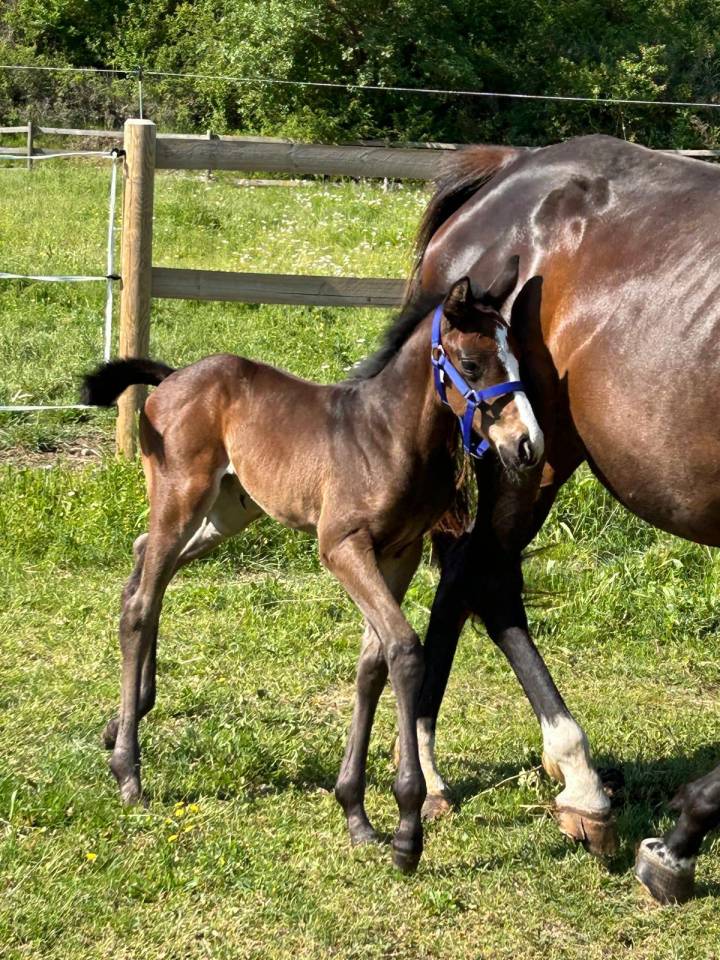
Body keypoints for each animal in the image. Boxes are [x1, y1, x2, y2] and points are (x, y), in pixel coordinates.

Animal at [81, 260, 543, 874]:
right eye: (471, 363)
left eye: (517, 358)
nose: (527, 446)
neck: (389, 436)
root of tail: (174, 377)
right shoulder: (342, 547)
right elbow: (404, 650)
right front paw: (407, 830)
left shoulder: (398, 552)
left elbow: (372, 663)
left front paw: (356, 814)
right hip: (182, 497)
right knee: (139, 600)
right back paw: (129, 772)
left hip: (229, 510)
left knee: (143, 564)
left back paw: (122, 721)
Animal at [379, 133, 720, 903]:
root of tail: (512, 168)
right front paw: (677, 845)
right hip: (528, 455)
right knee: (486, 574)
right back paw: (575, 782)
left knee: (467, 575)